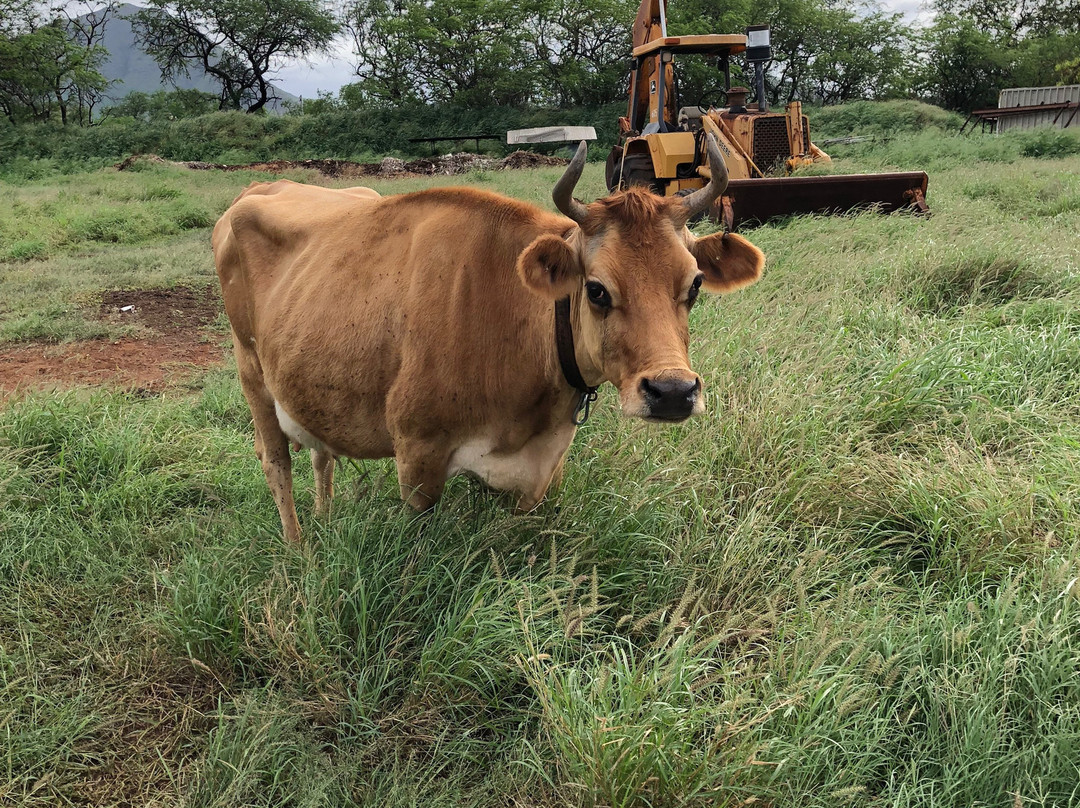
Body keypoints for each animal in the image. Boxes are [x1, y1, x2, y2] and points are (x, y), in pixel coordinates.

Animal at [212, 135, 764, 542]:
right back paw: (299, 550)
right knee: (277, 462)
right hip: (250, 370)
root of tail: (260, 186)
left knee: (320, 454)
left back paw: (324, 523)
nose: (672, 392)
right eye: (596, 289)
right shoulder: (417, 456)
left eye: (695, 284)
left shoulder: (540, 473)